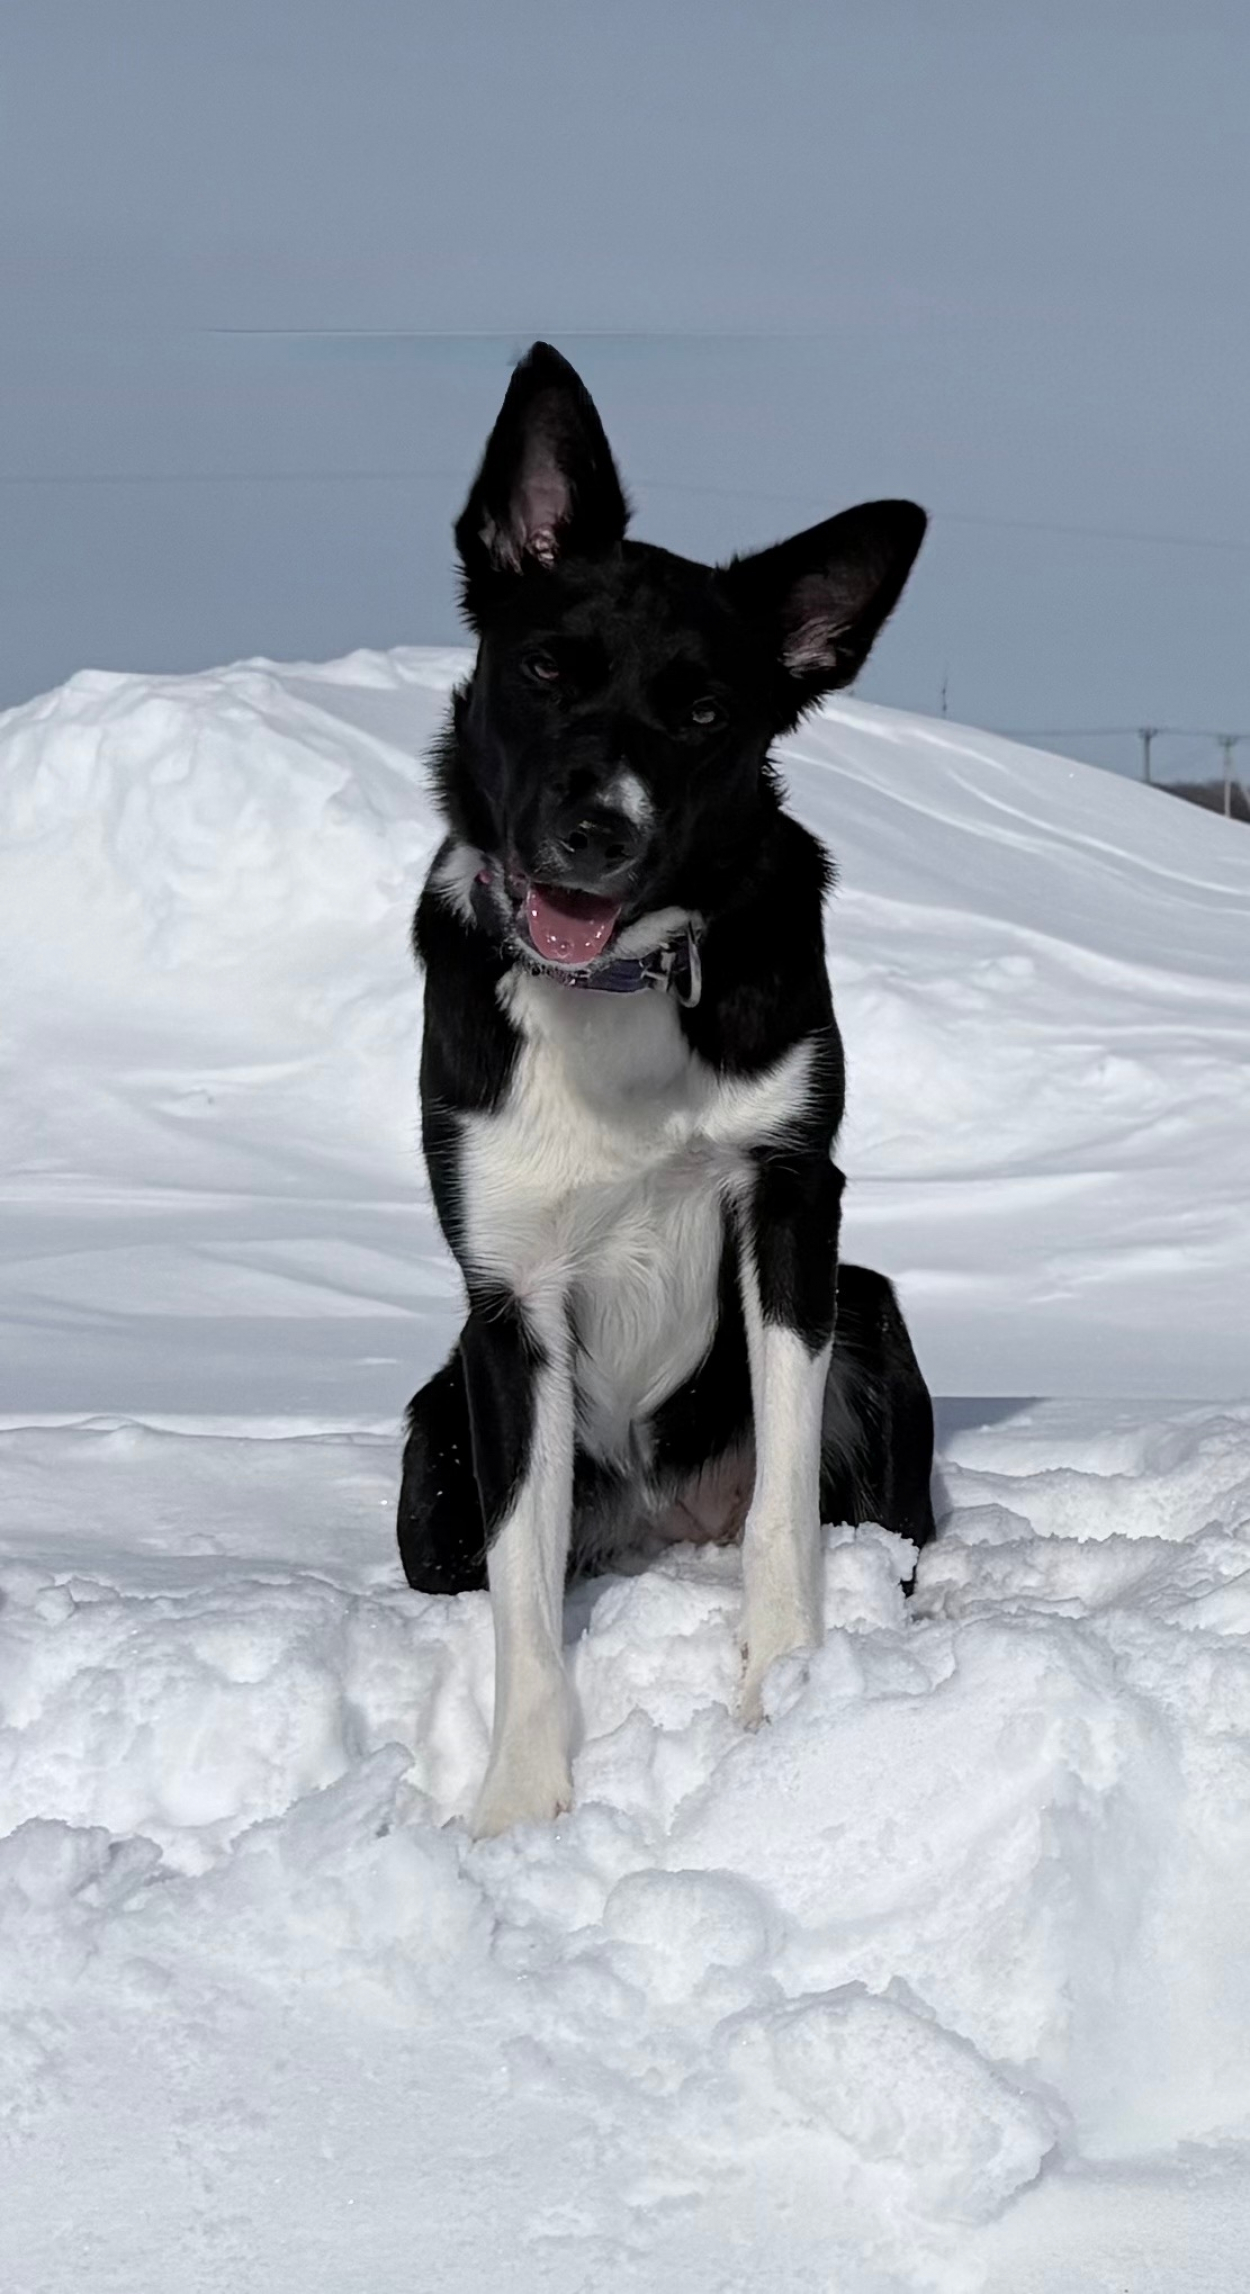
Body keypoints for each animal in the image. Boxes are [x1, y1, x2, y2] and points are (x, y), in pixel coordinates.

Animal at [397, 343, 935, 1836]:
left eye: (702, 712)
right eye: (542, 667)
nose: (596, 829)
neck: (618, 986)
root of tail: (656, 1523)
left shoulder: (792, 1199)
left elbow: (782, 1516)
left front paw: (785, 1701)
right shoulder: (506, 1297)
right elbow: (523, 1599)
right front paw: (519, 1802)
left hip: (869, 1309)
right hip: (430, 1437)